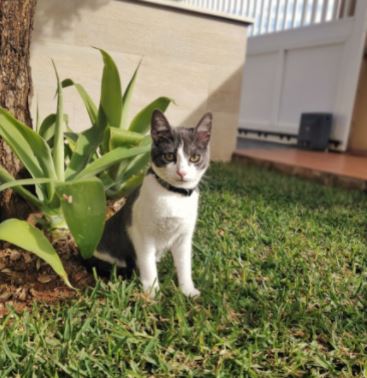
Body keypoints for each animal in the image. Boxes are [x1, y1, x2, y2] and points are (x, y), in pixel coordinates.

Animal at [92, 109, 213, 298]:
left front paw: (187, 289)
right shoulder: (142, 233)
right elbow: (147, 262)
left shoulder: (184, 236)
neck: (173, 195)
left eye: (194, 157)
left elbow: (184, 263)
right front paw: (152, 292)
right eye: (169, 156)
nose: (182, 172)